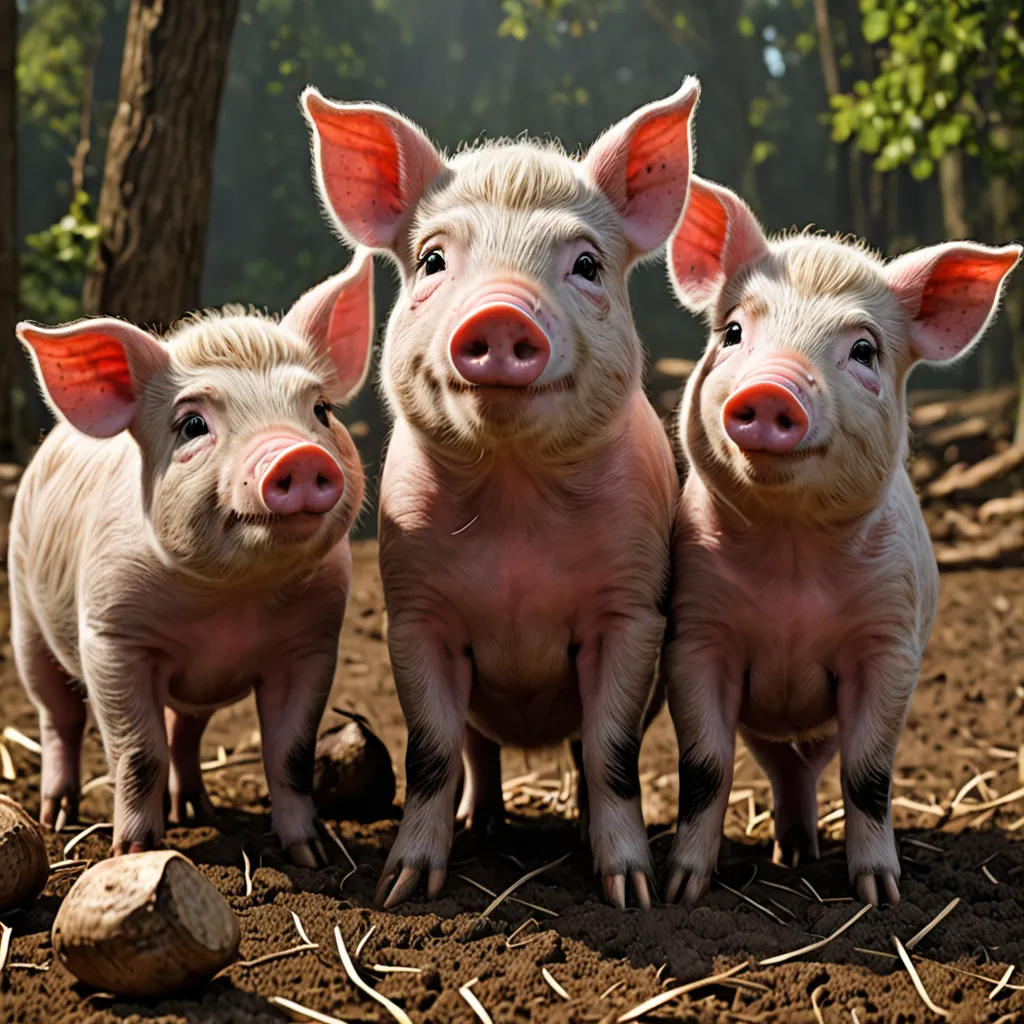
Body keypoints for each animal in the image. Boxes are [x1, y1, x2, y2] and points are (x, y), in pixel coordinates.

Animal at [10, 253, 375, 866]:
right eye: (193, 425)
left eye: (321, 410)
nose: (298, 454)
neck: (229, 599)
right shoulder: (111, 637)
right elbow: (138, 752)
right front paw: (132, 852)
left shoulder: (312, 643)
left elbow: (291, 752)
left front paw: (311, 855)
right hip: (26, 621)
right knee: (58, 717)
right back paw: (57, 816)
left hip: (195, 689)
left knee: (186, 731)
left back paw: (196, 811)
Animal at [301, 80, 700, 908]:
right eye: (432, 259)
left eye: (587, 264)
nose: (501, 311)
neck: (516, 506)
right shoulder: (413, 613)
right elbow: (428, 752)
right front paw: (401, 889)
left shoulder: (632, 611)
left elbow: (612, 753)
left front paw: (631, 892)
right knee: (478, 750)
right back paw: (481, 828)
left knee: (576, 754)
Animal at [662, 174, 1021, 906]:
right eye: (733, 331)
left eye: (863, 350)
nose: (773, 388)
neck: (791, 556)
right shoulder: (695, 634)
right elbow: (705, 766)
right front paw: (682, 889)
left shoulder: (889, 646)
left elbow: (869, 773)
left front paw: (881, 894)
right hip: (767, 723)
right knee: (783, 769)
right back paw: (788, 854)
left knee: (812, 768)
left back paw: (802, 855)